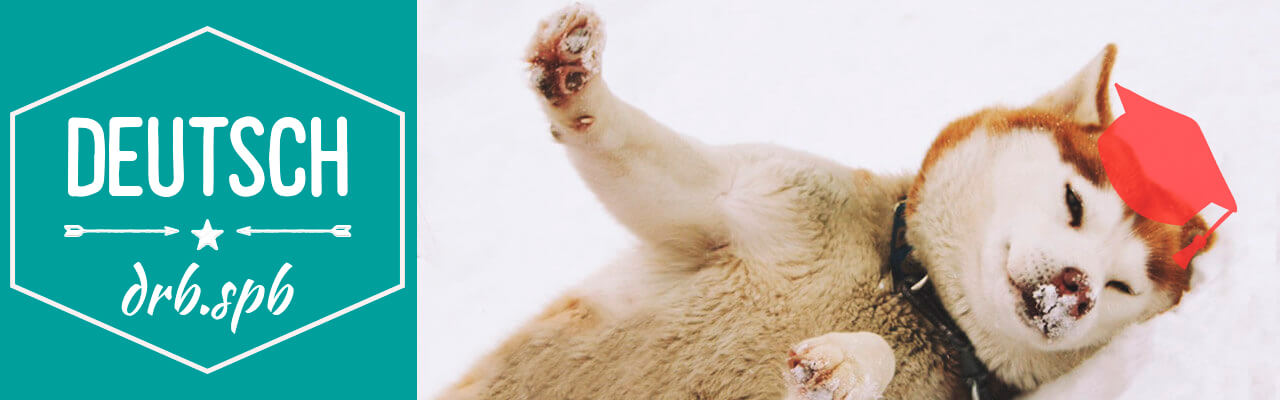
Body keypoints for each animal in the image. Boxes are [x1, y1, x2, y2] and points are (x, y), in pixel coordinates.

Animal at [438, 4, 1213, 399]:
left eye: (1122, 287)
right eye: (1074, 202)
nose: (1076, 290)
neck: (921, 301)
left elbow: (867, 361)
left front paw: (843, 363)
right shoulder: (748, 199)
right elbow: (631, 146)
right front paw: (573, 76)